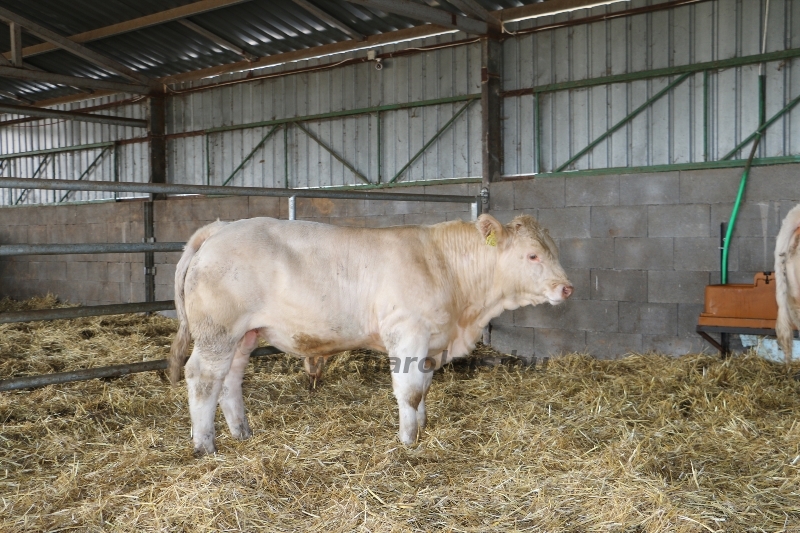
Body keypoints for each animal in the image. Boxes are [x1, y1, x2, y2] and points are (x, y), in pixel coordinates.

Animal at [169, 214, 572, 456]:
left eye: (553, 250)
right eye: (532, 255)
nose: (566, 288)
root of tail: (220, 228)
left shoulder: (429, 342)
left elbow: (423, 390)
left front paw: (421, 428)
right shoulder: (407, 332)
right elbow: (409, 391)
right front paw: (408, 441)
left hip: (244, 334)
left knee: (230, 380)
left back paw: (241, 432)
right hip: (218, 331)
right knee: (202, 377)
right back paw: (205, 445)